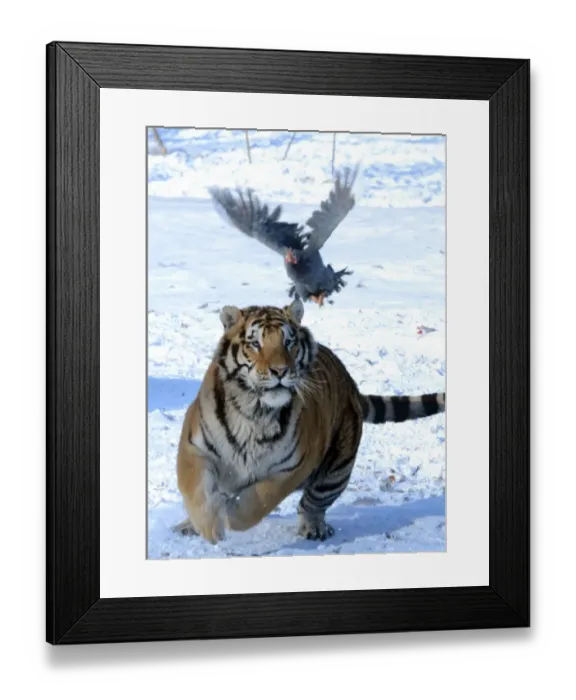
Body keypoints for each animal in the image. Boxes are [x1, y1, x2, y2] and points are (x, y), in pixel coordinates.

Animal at [175, 298, 445, 544]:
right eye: (255, 343)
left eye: (288, 342)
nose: (280, 371)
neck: (256, 411)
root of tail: (351, 384)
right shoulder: (194, 447)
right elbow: (195, 490)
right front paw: (208, 527)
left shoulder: (294, 465)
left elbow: (261, 498)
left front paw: (233, 515)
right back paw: (188, 524)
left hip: (337, 469)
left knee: (313, 503)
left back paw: (313, 528)